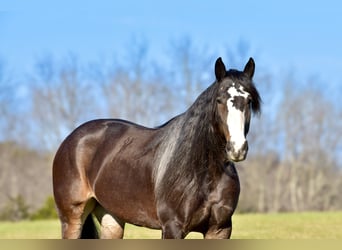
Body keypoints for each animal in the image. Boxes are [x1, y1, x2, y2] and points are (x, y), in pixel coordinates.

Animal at [52, 56, 262, 238]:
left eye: (249, 101)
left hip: (111, 217)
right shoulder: (172, 228)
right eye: (219, 100)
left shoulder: (219, 229)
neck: (201, 172)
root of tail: (71, 139)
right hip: (72, 219)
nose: (237, 149)